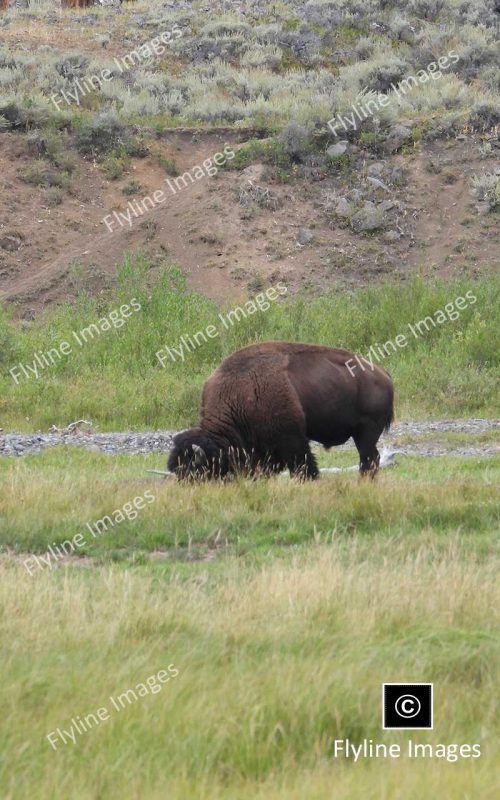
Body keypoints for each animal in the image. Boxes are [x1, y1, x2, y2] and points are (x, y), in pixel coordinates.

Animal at [168, 340, 394, 478]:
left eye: (197, 471)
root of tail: (383, 373)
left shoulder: (292, 440)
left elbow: (305, 467)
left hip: (366, 432)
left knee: (368, 460)